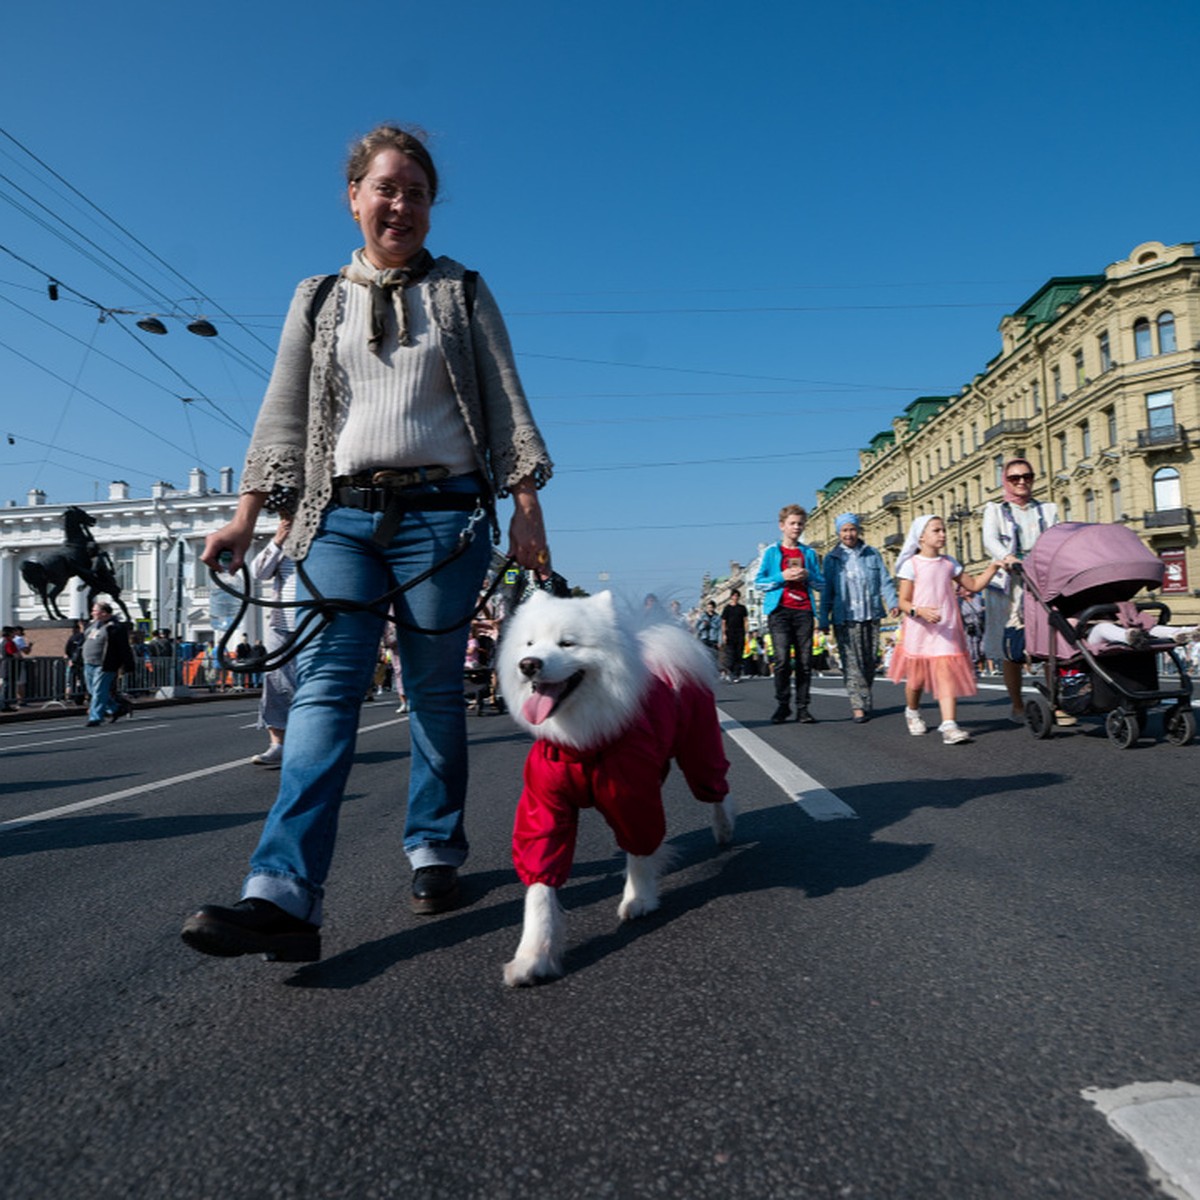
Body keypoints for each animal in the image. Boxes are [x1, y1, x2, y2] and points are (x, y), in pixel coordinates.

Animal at [494, 590, 729, 984]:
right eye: (529, 644)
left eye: (567, 643)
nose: (529, 664)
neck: (582, 746)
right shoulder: (544, 807)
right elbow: (540, 885)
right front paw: (533, 956)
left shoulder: (633, 798)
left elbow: (639, 851)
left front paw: (638, 898)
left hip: (700, 752)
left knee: (717, 790)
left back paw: (724, 829)